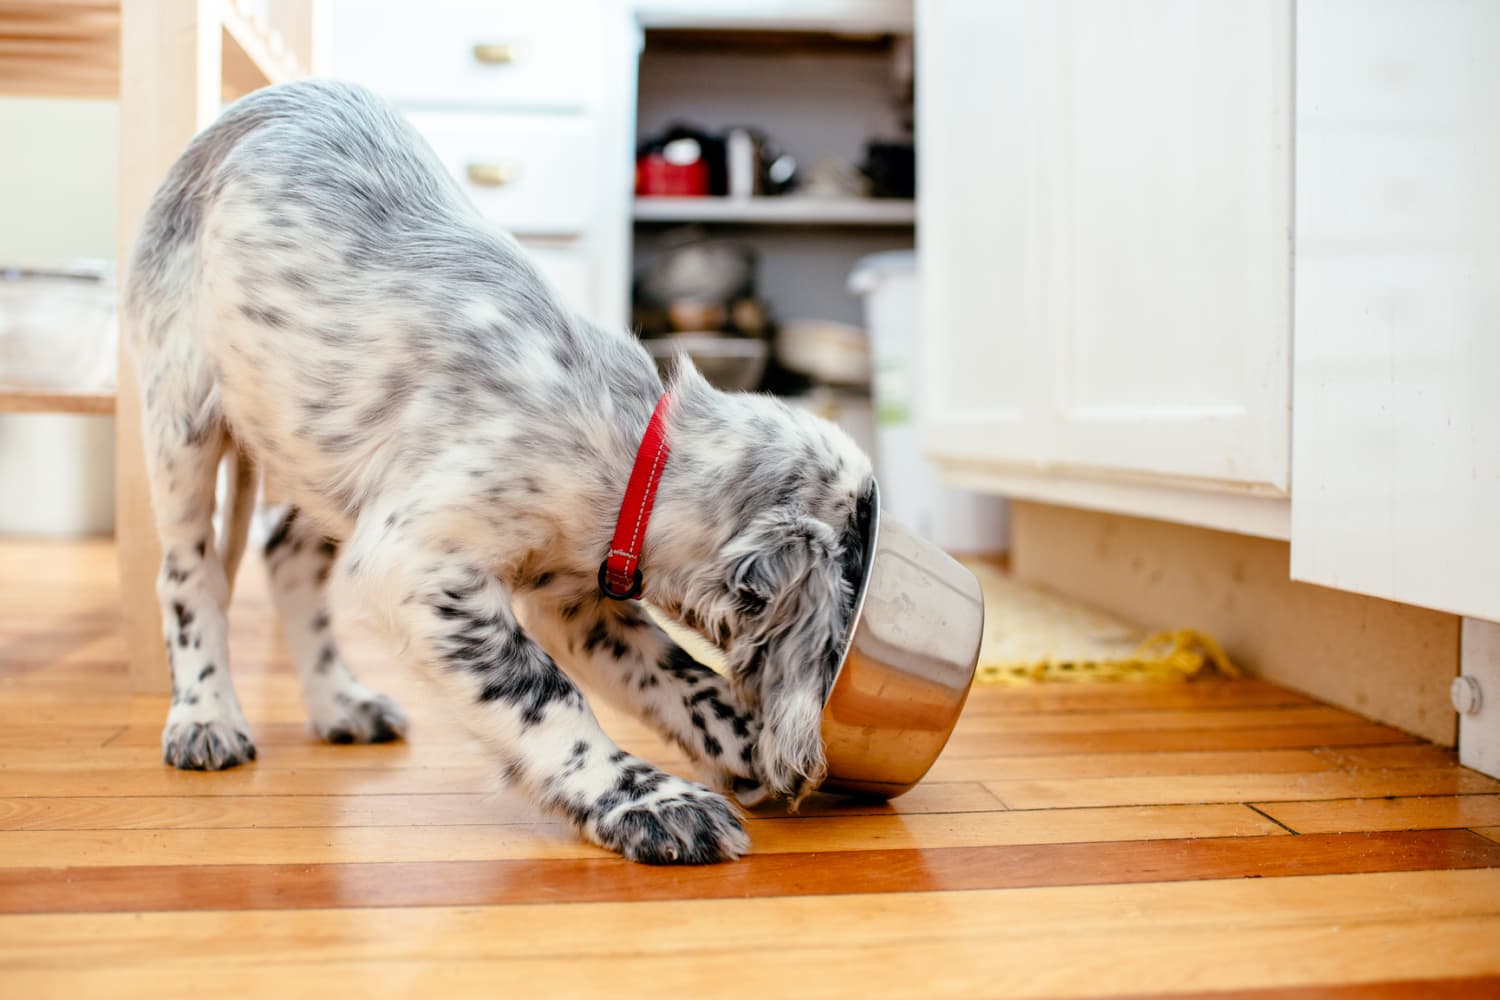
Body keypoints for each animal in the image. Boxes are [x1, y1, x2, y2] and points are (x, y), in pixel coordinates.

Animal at [123, 78, 876, 863]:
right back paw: (205, 715)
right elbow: (542, 693)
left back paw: (341, 702)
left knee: (285, 559)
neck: (634, 451)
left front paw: (744, 745)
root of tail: (256, 103)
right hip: (182, 414)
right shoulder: (416, 562)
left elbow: (680, 675)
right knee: (189, 575)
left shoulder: (581, 599)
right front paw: (649, 801)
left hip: (316, 452)